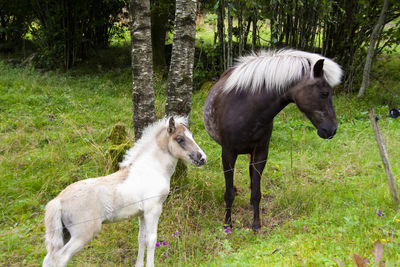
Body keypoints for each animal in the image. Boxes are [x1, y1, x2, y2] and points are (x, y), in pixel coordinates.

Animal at [42, 118, 206, 267]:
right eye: (180, 139)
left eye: (191, 135)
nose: (202, 158)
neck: (152, 169)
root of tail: (58, 200)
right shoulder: (153, 210)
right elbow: (151, 239)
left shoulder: (142, 213)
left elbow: (141, 238)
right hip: (83, 233)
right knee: (60, 259)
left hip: (64, 233)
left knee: (49, 259)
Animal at [205, 49, 342, 231]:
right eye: (324, 93)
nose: (332, 129)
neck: (245, 109)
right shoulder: (228, 153)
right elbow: (228, 193)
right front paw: (228, 223)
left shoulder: (261, 152)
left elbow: (256, 192)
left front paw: (256, 224)